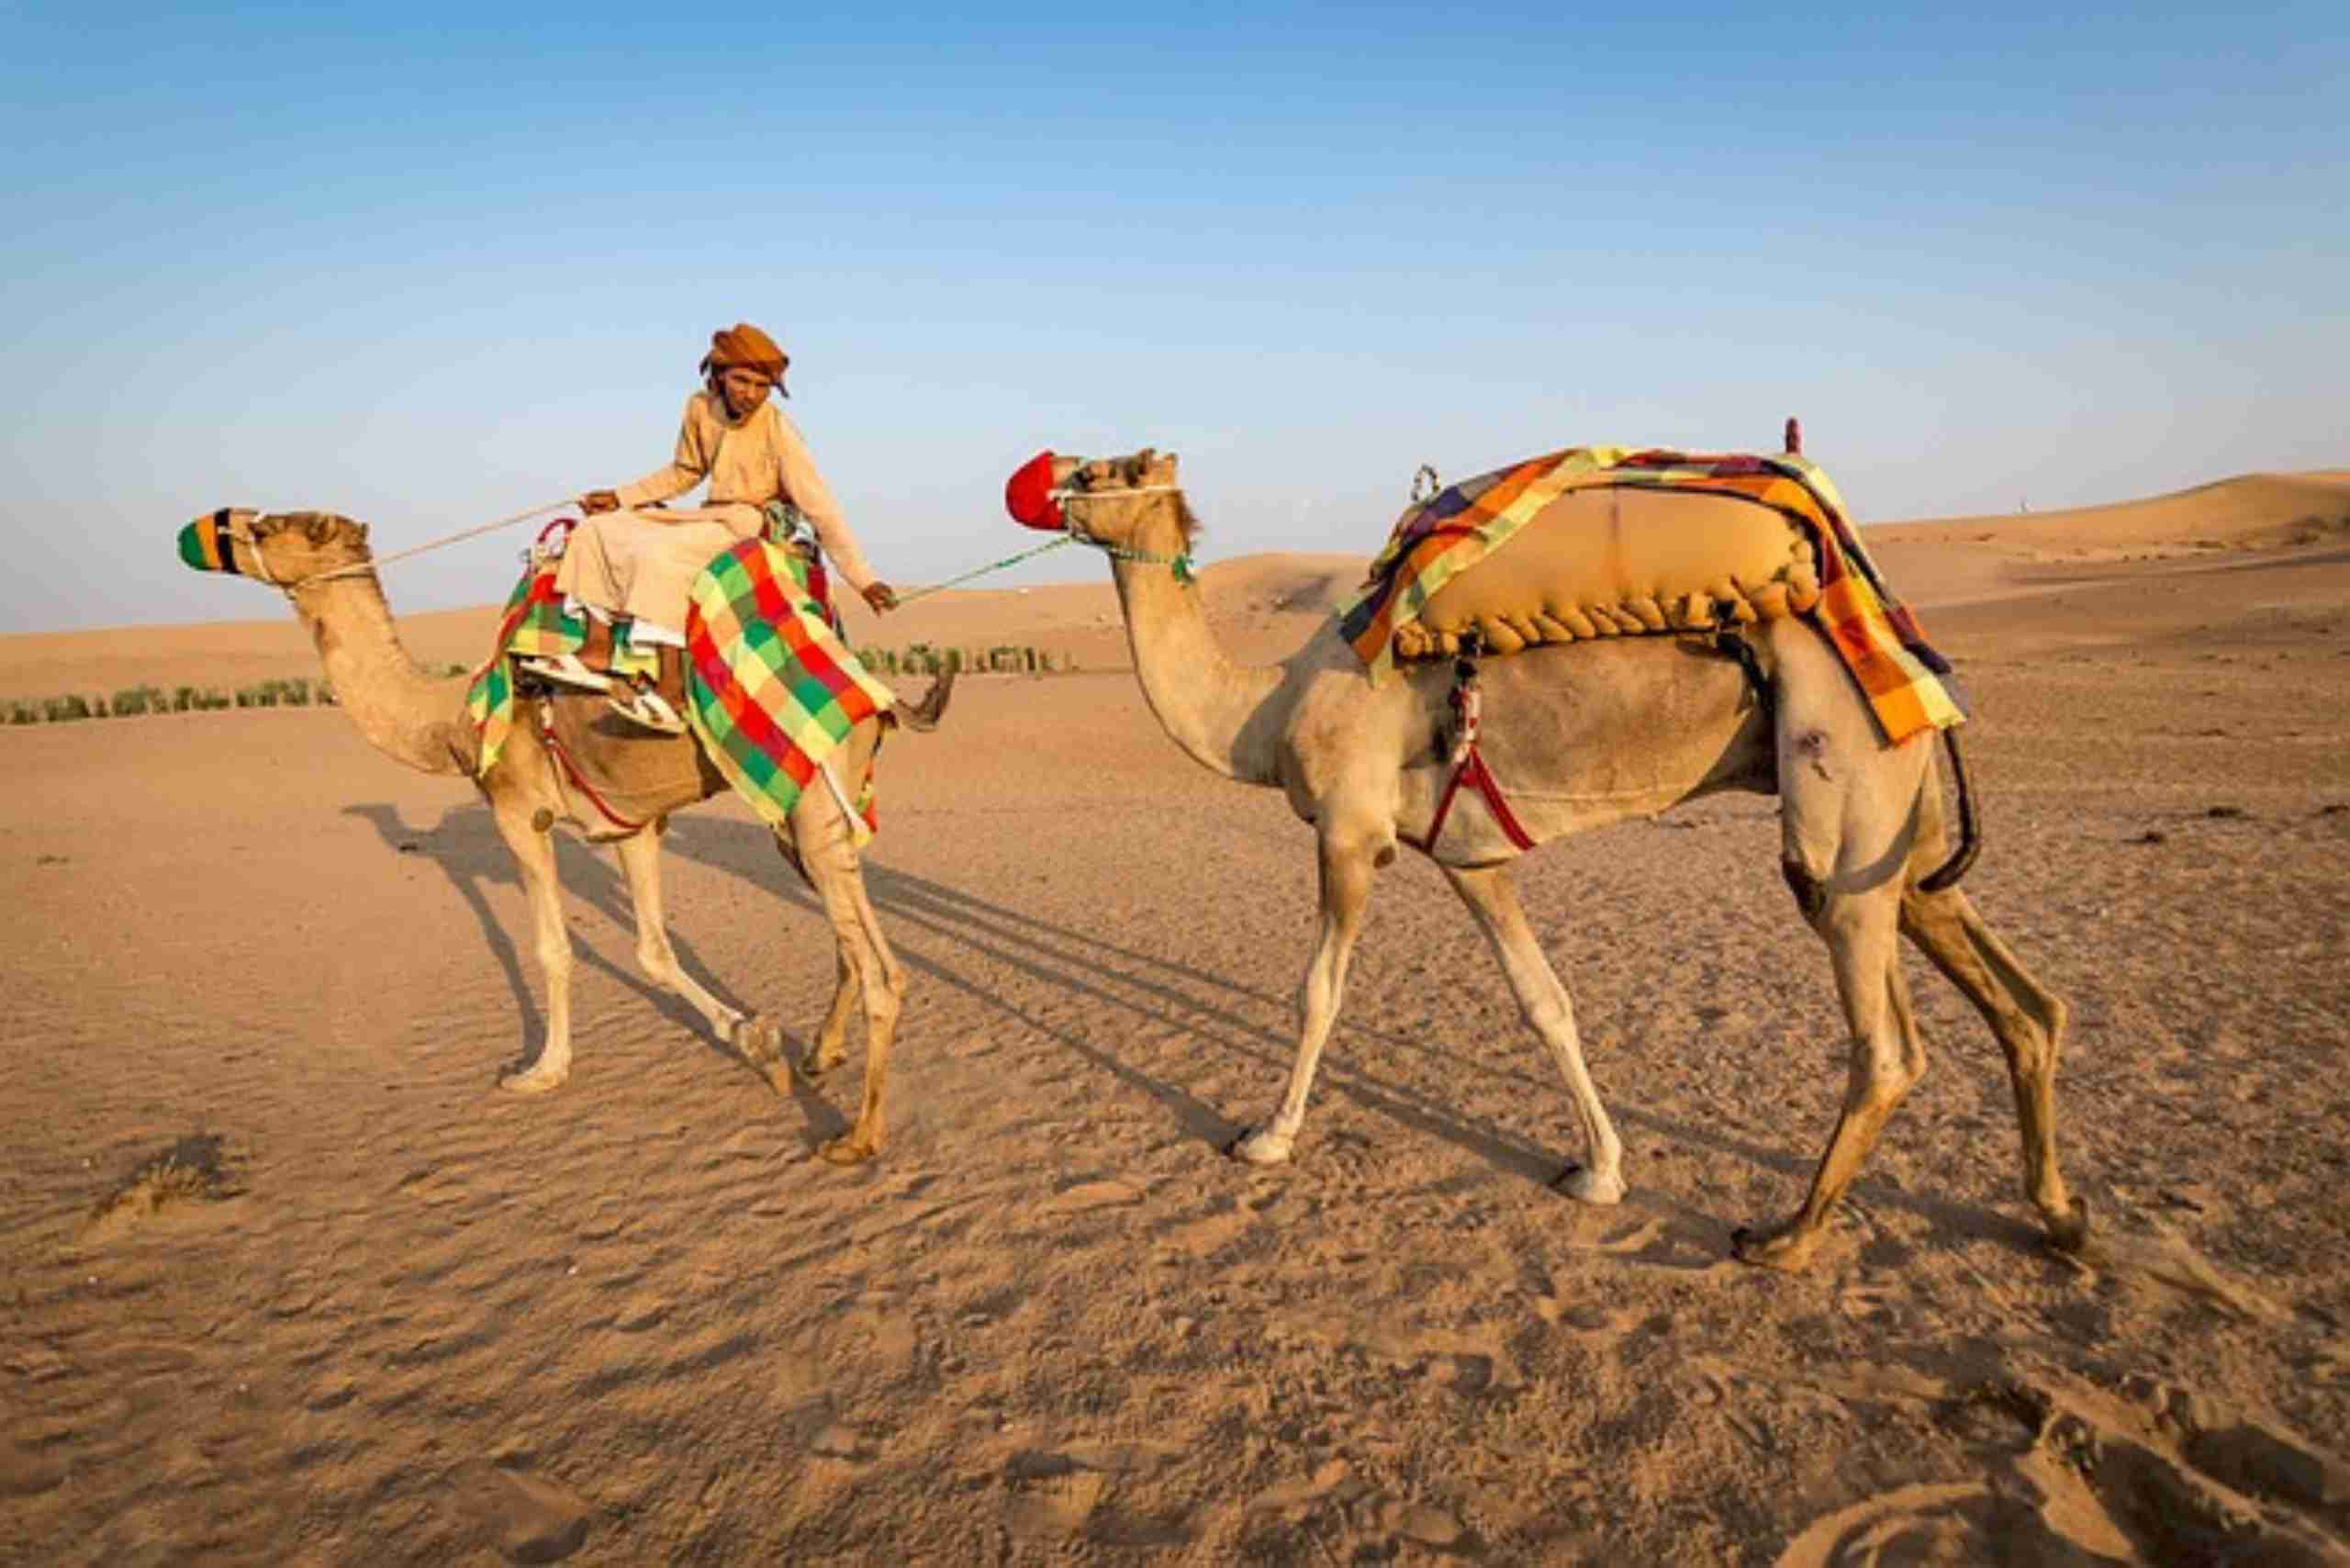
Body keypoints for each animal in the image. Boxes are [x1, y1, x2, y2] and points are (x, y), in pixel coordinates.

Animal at [183, 508, 952, 1164]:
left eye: (272, 526)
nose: (207, 527)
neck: (454, 722)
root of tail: (878, 691)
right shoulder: (632, 824)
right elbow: (652, 951)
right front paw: (756, 1039)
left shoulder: (519, 812)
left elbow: (552, 950)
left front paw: (540, 1070)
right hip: (806, 811)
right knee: (851, 936)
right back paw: (820, 1054)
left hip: (810, 790)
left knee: (884, 972)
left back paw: (858, 1136)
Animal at [1048, 450, 2085, 1271]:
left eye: (1100, 473)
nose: (1043, 482)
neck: (1263, 712)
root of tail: (1891, 633)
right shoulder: (1470, 858)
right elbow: (1545, 1002)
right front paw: (1600, 1169)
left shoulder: (1346, 833)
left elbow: (1318, 993)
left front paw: (1265, 1137)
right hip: (1904, 822)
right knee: (2024, 1002)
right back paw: (2059, 1216)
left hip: (1843, 783)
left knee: (1886, 1042)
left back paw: (1786, 1236)